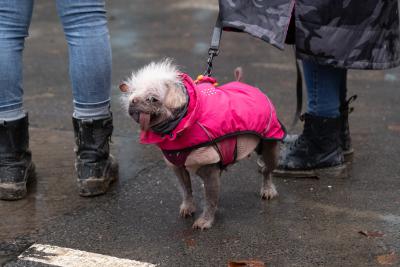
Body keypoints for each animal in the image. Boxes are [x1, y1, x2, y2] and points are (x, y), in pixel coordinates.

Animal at [119, 59, 284, 230]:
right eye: (131, 94)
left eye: (152, 99)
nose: (133, 101)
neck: (182, 121)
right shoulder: (178, 167)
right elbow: (186, 189)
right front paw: (188, 207)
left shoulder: (208, 167)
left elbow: (210, 200)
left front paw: (205, 220)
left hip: (270, 148)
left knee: (266, 170)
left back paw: (268, 190)